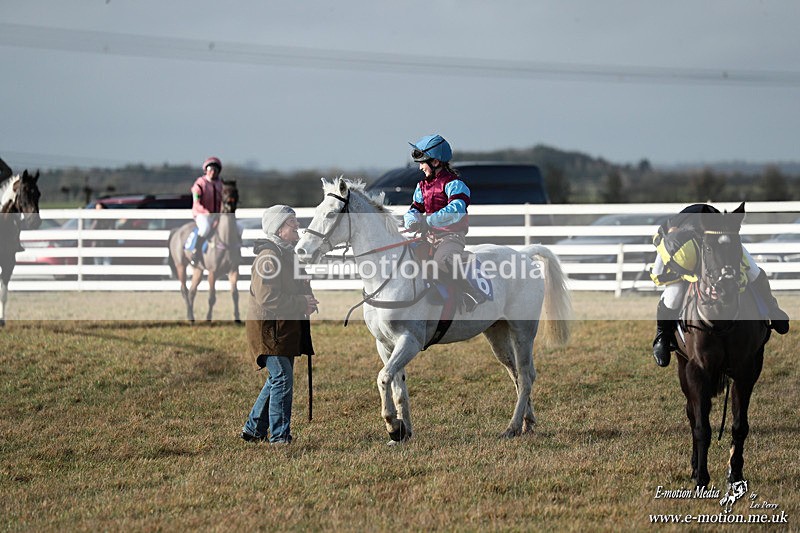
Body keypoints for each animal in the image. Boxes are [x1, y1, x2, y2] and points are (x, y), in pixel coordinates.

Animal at [0, 170, 42, 326]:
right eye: (24, 192)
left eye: (38, 194)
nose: (35, 221)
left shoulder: (9, 262)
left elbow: (3, 293)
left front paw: (2, 320)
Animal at [167, 179, 242, 322]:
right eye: (224, 191)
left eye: (236, 191)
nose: (229, 204)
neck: (225, 240)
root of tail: (177, 230)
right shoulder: (212, 272)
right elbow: (212, 297)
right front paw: (208, 318)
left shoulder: (233, 270)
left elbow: (235, 294)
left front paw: (237, 319)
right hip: (181, 266)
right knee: (185, 290)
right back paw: (190, 317)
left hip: (198, 269)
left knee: (192, 291)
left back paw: (191, 315)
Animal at [295, 178, 572, 442]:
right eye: (317, 211)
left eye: (331, 214)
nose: (301, 250)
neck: (390, 275)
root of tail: (524, 253)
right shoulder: (384, 344)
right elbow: (398, 387)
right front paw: (403, 432)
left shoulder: (410, 341)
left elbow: (383, 378)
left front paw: (392, 426)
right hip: (497, 334)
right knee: (516, 375)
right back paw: (527, 423)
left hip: (523, 331)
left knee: (526, 376)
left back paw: (512, 427)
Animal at [673, 202, 771, 488]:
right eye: (707, 248)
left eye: (737, 245)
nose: (726, 286)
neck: (721, 319)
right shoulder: (697, 370)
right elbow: (701, 426)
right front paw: (701, 476)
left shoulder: (746, 370)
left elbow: (740, 425)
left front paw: (735, 474)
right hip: (682, 366)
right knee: (692, 414)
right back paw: (695, 466)